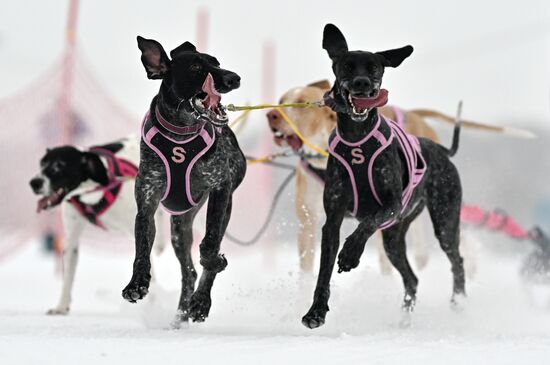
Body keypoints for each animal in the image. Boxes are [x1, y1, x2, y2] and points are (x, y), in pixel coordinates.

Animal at [30, 136, 165, 312]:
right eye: (41, 164)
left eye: (59, 165)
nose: (34, 182)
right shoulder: (71, 240)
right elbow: (67, 277)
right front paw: (61, 307)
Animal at [124, 35, 249, 322]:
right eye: (195, 67)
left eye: (217, 62)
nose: (234, 77)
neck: (180, 134)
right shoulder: (146, 203)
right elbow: (141, 249)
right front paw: (137, 284)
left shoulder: (221, 188)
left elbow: (210, 244)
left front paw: (214, 264)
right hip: (179, 228)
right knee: (189, 273)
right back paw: (182, 311)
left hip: (221, 206)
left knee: (203, 260)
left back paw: (200, 302)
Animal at [304, 24, 468, 328]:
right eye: (347, 65)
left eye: (375, 68)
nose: (362, 83)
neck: (357, 140)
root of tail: (440, 150)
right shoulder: (332, 220)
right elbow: (323, 273)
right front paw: (316, 311)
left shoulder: (392, 204)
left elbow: (368, 221)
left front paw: (350, 253)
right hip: (393, 238)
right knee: (412, 279)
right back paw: (404, 321)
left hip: (445, 221)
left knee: (457, 261)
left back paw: (458, 303)